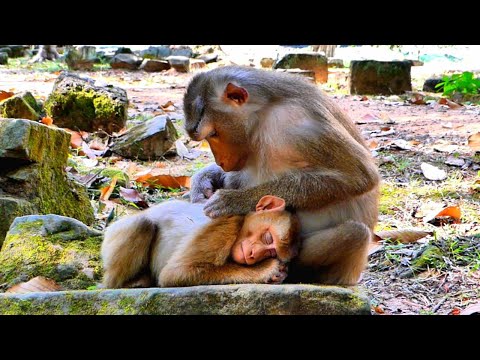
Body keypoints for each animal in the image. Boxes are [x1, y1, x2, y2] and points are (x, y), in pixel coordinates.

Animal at [101, 195, 300, 288]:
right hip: (113, 237)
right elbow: (175, 272)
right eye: (268, 238)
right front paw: (267, 269)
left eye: (271, 251)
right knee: (142, 224)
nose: (253, 255)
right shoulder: (223, 228)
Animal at [182, 64, 380, 284]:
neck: (263, 115)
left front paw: (234, 200)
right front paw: (203, 181)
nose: (220, 161)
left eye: (213, 134)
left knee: (356, 234)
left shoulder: (301, 125)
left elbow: (360, 175)